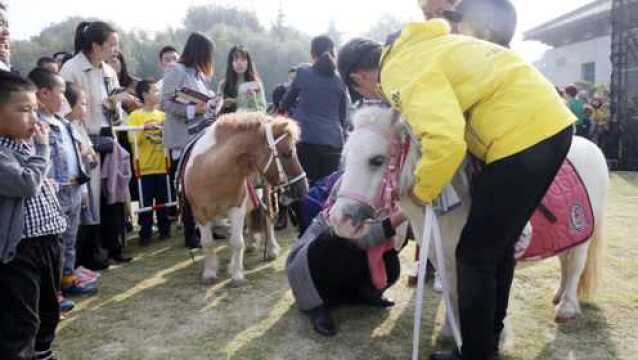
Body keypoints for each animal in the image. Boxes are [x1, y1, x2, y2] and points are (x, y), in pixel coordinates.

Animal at [184, 112, 308, 286]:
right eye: (288, 152)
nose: (304, 187)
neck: (212, 172)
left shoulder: (236, 208)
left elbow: (236, 242)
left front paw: (236, 275)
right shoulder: (200, 213)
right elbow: (208, 243)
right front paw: (209, 273)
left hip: (266, 195)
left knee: (268, 219)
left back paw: (271, 249)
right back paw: (251, 244)